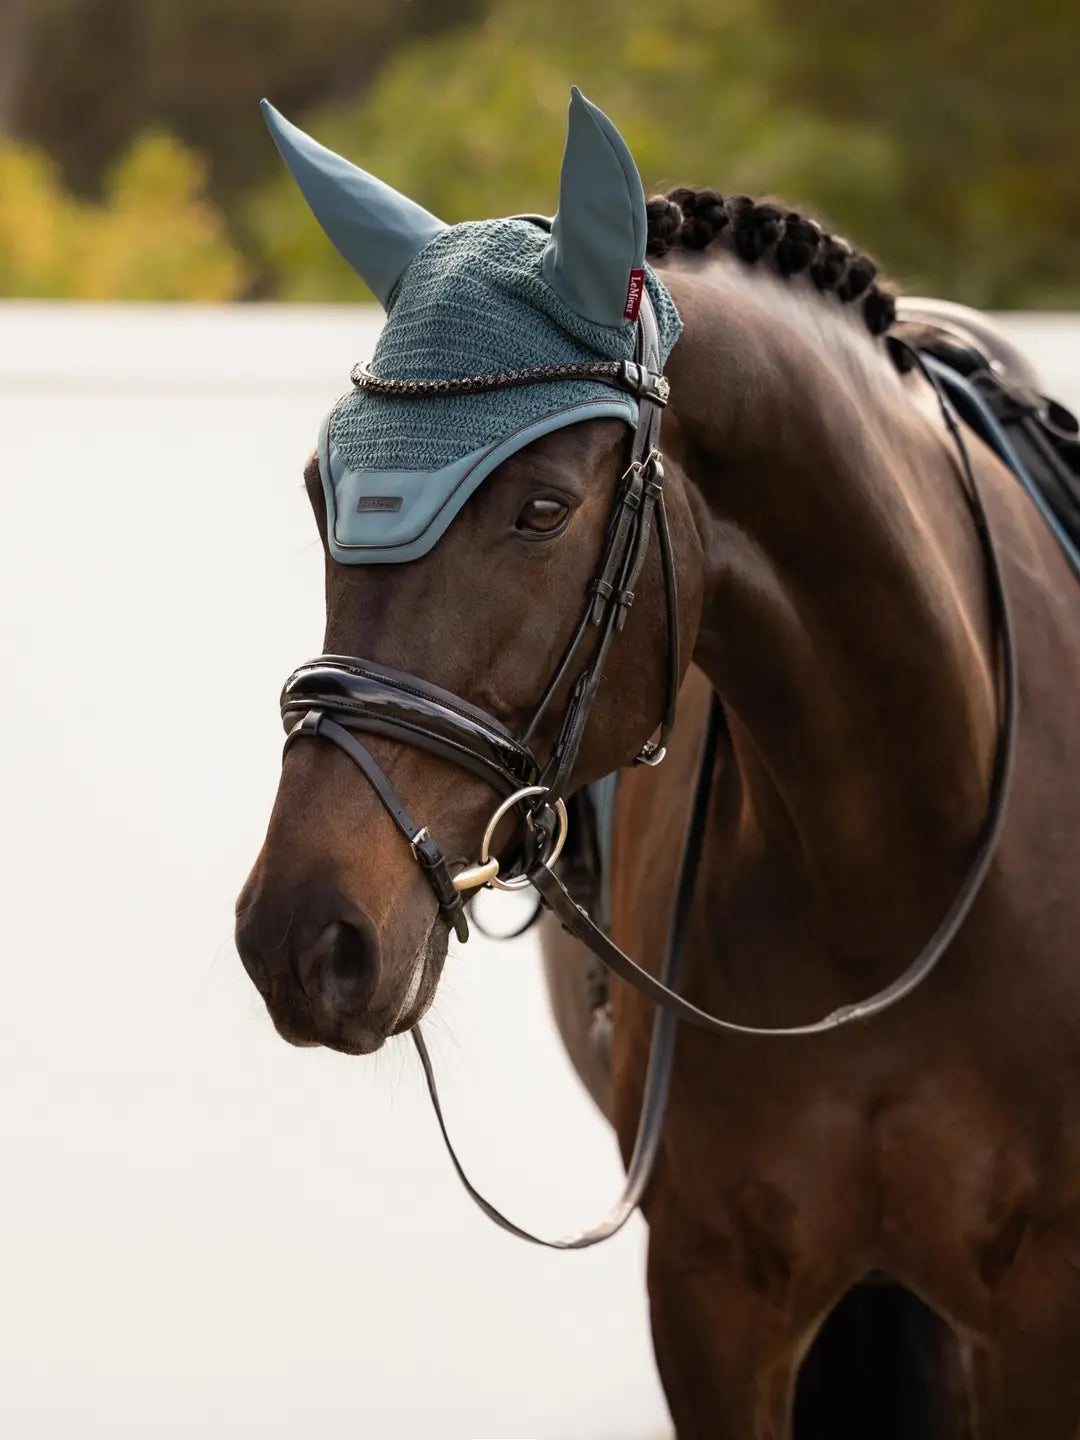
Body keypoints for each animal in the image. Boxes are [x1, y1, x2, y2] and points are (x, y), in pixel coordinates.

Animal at [235, 91, 1080, 1438]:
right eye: (324, 489)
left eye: (540, 508)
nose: (304, 936)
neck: (896, 866)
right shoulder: (709, 1297)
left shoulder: (1041, 1307)